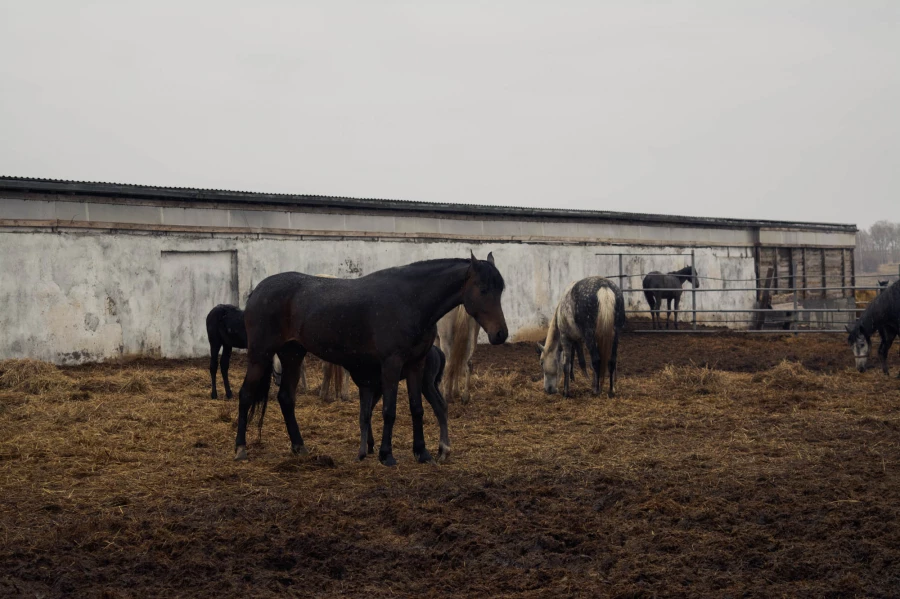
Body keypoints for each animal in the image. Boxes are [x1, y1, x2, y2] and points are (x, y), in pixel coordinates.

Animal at [236, 251, 506, 466]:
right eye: (483, 289)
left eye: (501, 289)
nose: (500, 334)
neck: (411, 300)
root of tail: (257, 291)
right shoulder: (391, 364)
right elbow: (389, 410)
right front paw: (386, 455)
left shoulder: (415, 365)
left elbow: (416, 408)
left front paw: (422, 452)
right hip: (260, 355)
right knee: (246, 395)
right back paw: (240, 449)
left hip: (292, 354)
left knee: (286, 398)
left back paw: (299, 447)